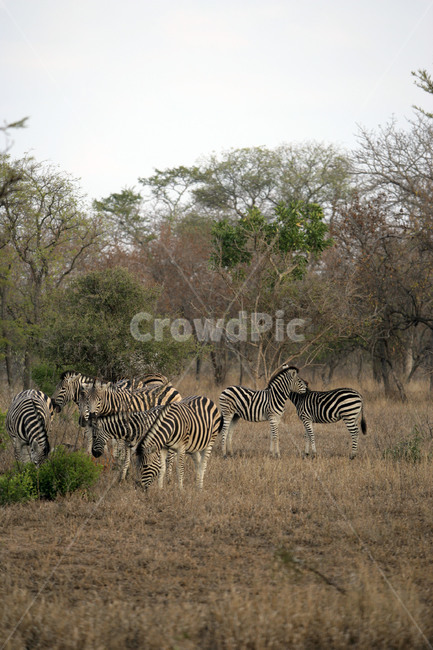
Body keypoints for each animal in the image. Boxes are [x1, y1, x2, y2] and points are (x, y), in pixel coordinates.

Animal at [92, 395, 222, 490]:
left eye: (94, 436)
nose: (94, 454)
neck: (135, 427)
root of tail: (204, 397)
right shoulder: (131, 445)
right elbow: (126, 462)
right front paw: (122, 480)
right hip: (193, 445)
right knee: (198, 461)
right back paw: (196, 483)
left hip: (208, 441)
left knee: (199, 463)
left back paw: (194, 485)